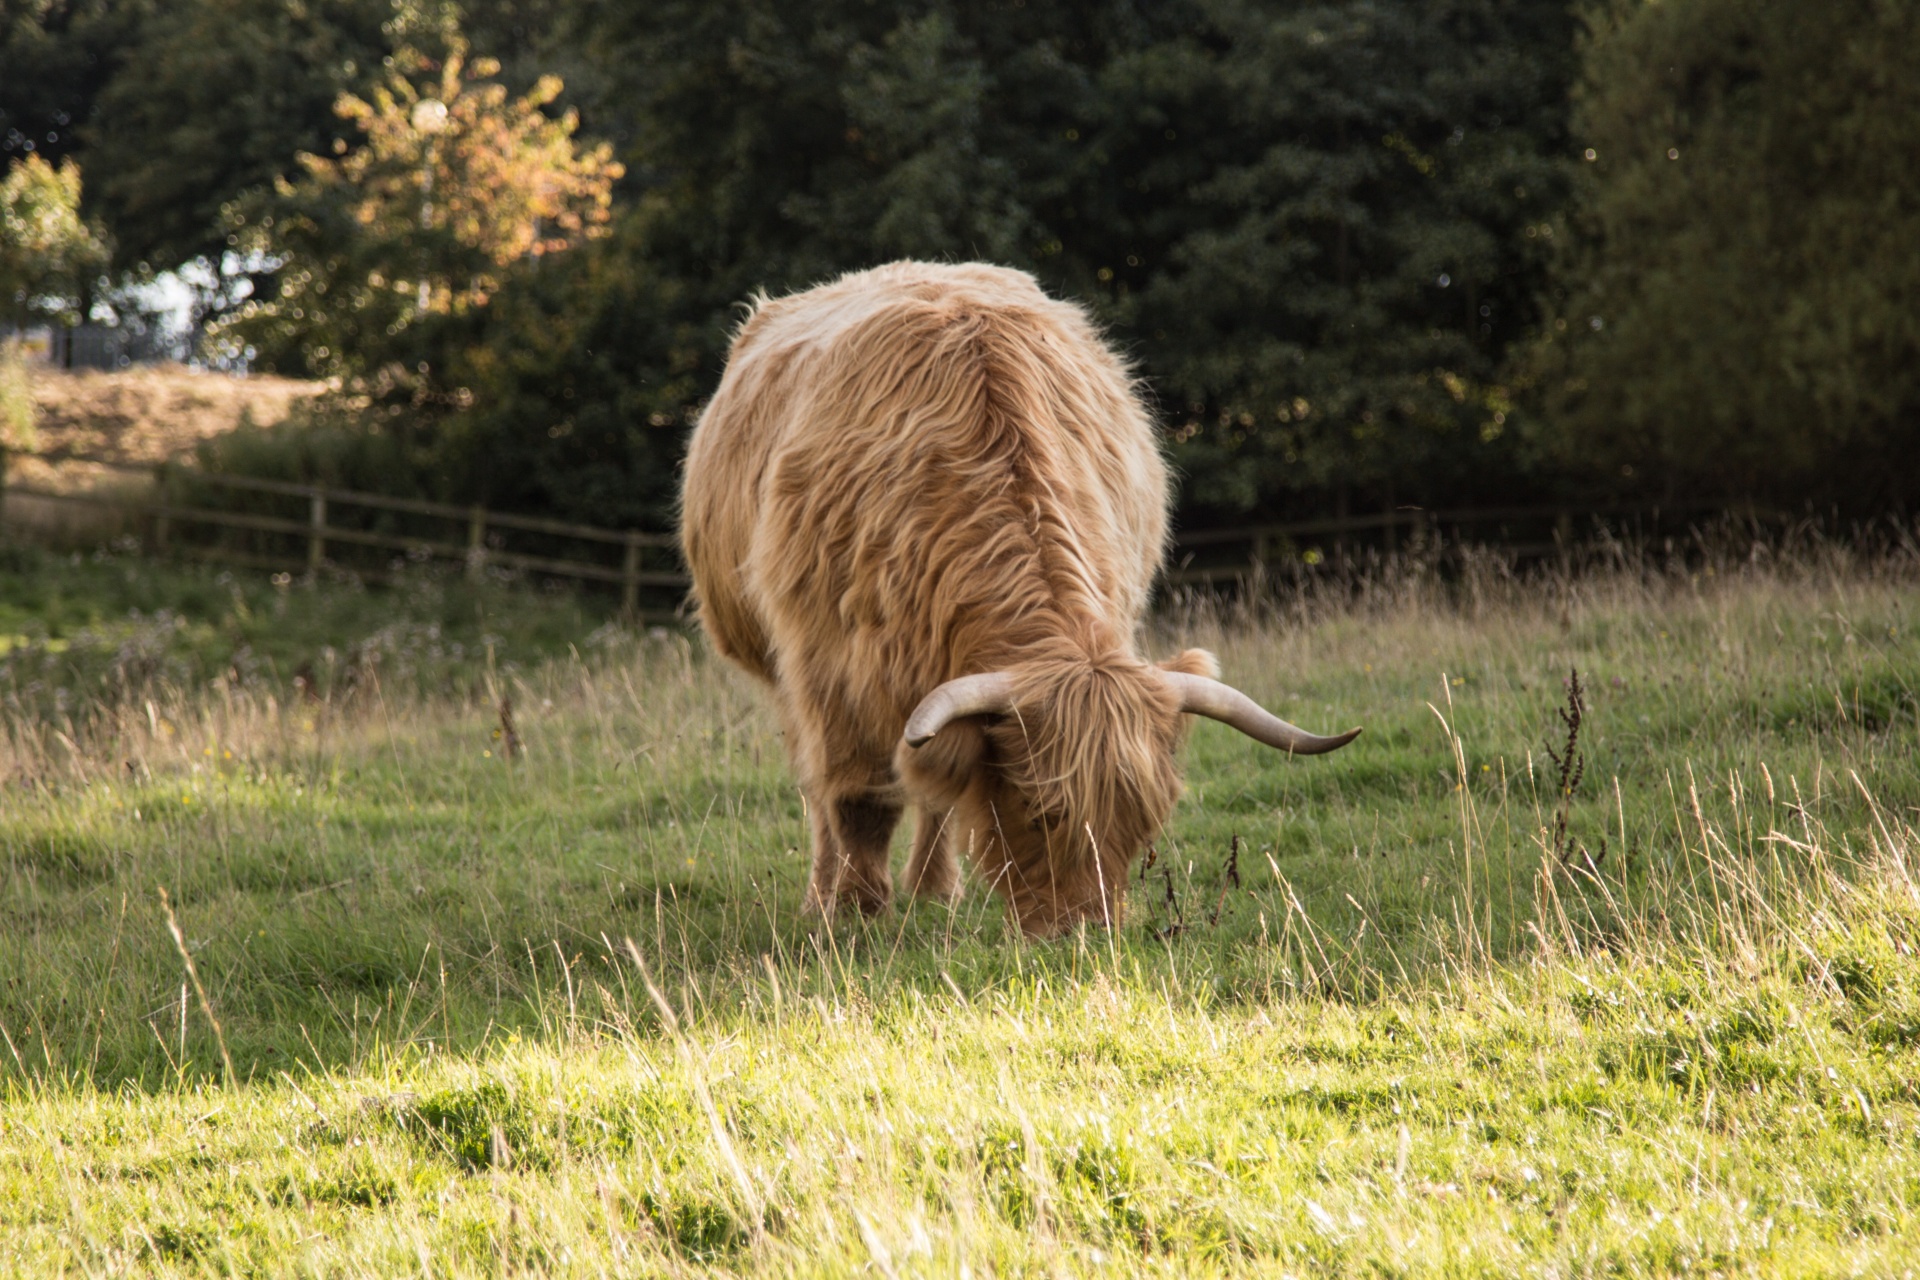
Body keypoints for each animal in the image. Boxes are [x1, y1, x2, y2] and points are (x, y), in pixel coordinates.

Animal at [683, 262, 1359, 940]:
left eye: (1145, 817)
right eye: (1039, 809)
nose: (1083, 931)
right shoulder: (829, 673)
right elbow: (858, 799)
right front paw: (853, 911)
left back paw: (934, 892)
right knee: (824, 790)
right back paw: (829, 895)